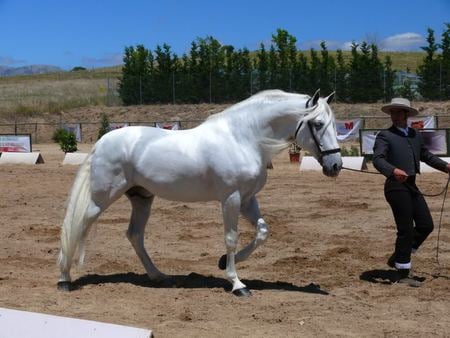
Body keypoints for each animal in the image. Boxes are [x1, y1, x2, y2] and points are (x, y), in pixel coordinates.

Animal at [58, 89, 342, 296]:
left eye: (334, 124)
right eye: (318, 124)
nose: (335, 166)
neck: (243, 139)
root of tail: (102, 141)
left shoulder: (248, 199)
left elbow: (262, 232)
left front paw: (222, 263)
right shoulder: (231, 198)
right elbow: (231, 237)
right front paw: (237, 284)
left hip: (142, 198)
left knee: (135, 235)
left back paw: (158, 276)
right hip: (101, 199)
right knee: (76, 226)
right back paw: (64, 279)